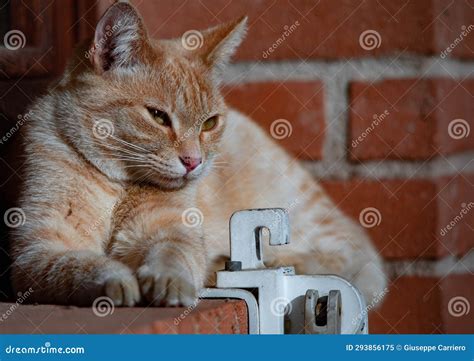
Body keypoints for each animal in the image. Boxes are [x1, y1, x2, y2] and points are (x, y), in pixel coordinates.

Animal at [11, 2, 386, 306]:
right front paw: (115, 280)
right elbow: (77, 265)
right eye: (158, 116)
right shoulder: (38, 249)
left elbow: (173, 254)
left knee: (349, 252)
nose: (194, 161)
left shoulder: (170, 230)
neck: (119, 186)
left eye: (209, 123)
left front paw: (169, 282)